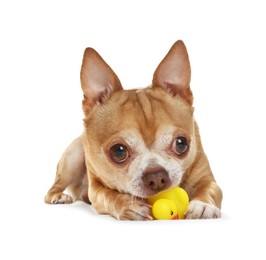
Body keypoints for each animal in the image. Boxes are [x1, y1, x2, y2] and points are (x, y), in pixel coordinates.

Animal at [45, 40, 222, 219]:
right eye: (118, 151)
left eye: (181, 143)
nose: (156, 176)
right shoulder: (95, 190)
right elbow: (108, 195)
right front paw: (127, 205)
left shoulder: (209, 180)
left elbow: (209, 190)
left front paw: (203, 204)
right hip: (73, 157)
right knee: (53, 188)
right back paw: (58, 196)